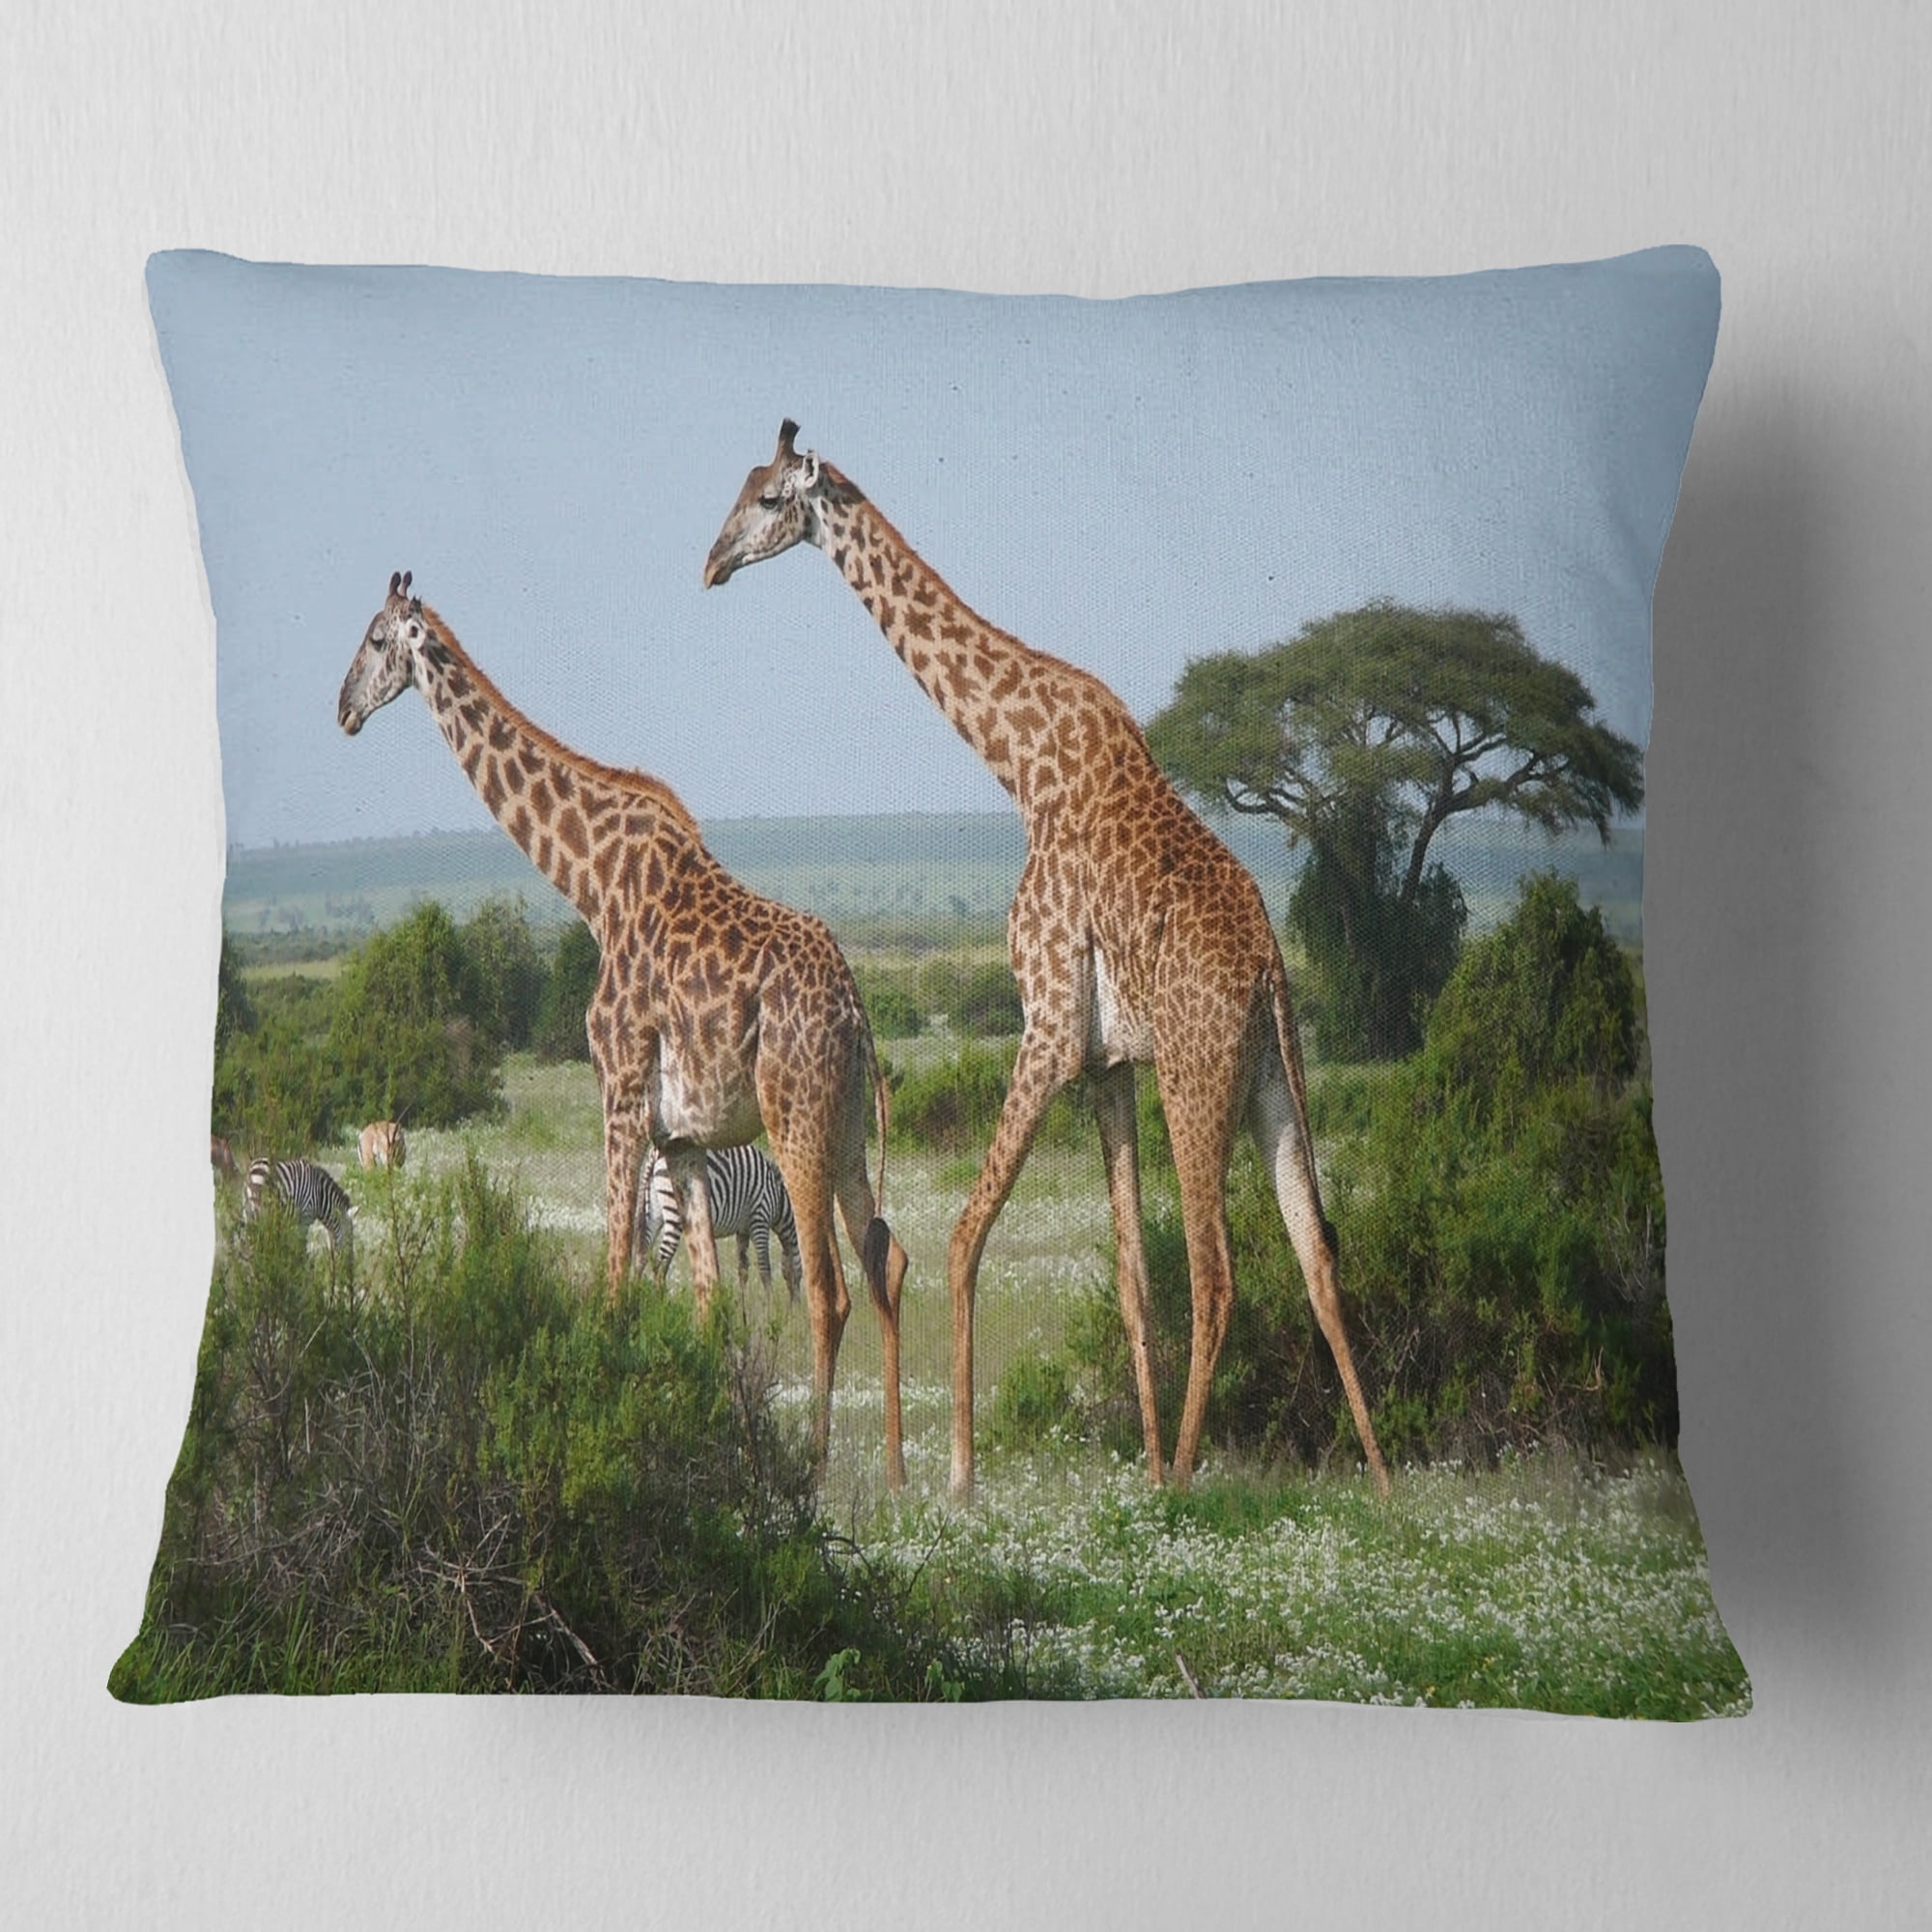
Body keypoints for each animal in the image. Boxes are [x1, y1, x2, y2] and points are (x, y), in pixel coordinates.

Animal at [337, 572, 910, 1485]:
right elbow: (705, 1302)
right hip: (848, 1127)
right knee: (886, 1261)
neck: (591, 882)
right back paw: (899, 1474)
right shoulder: (682, 1135)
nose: (343, 707)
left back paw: (818, 1473)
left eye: (377, 639)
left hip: (796, 1119)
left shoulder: (618, 1090)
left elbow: (615, 1281)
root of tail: (857, 1012)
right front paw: (717, 1443)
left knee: (829, 1289)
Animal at [705, 423, 1390, 1502]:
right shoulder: (1108, 1065)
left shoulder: (1049, 1027)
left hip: (1199, 1079)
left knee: (1219, 1271)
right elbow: (1131, 1276)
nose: (712, 562)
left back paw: (1186, 1481)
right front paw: (1136, 1463)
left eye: (770, 498)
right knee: (1315, 1253)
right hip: (1277, 1083)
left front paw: (958, 1474)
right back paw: (1383, 1485)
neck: (1018, 763)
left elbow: (962, 1235)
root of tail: (1272, 976)